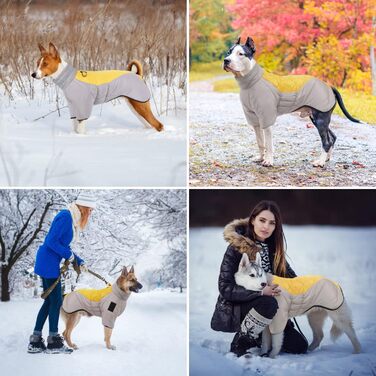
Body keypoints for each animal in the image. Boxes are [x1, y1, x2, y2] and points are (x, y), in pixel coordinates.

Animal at [30, 43, 163, 134]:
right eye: (37, 63)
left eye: (45, 64)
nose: (33, 74)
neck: (70, 79)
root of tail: (137, 75)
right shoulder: (74, 107)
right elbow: (75, 127)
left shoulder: (83, 107)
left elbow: (80, 129)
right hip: (135, 106)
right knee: (149, 124)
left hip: (140, 105)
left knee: (158, 125)